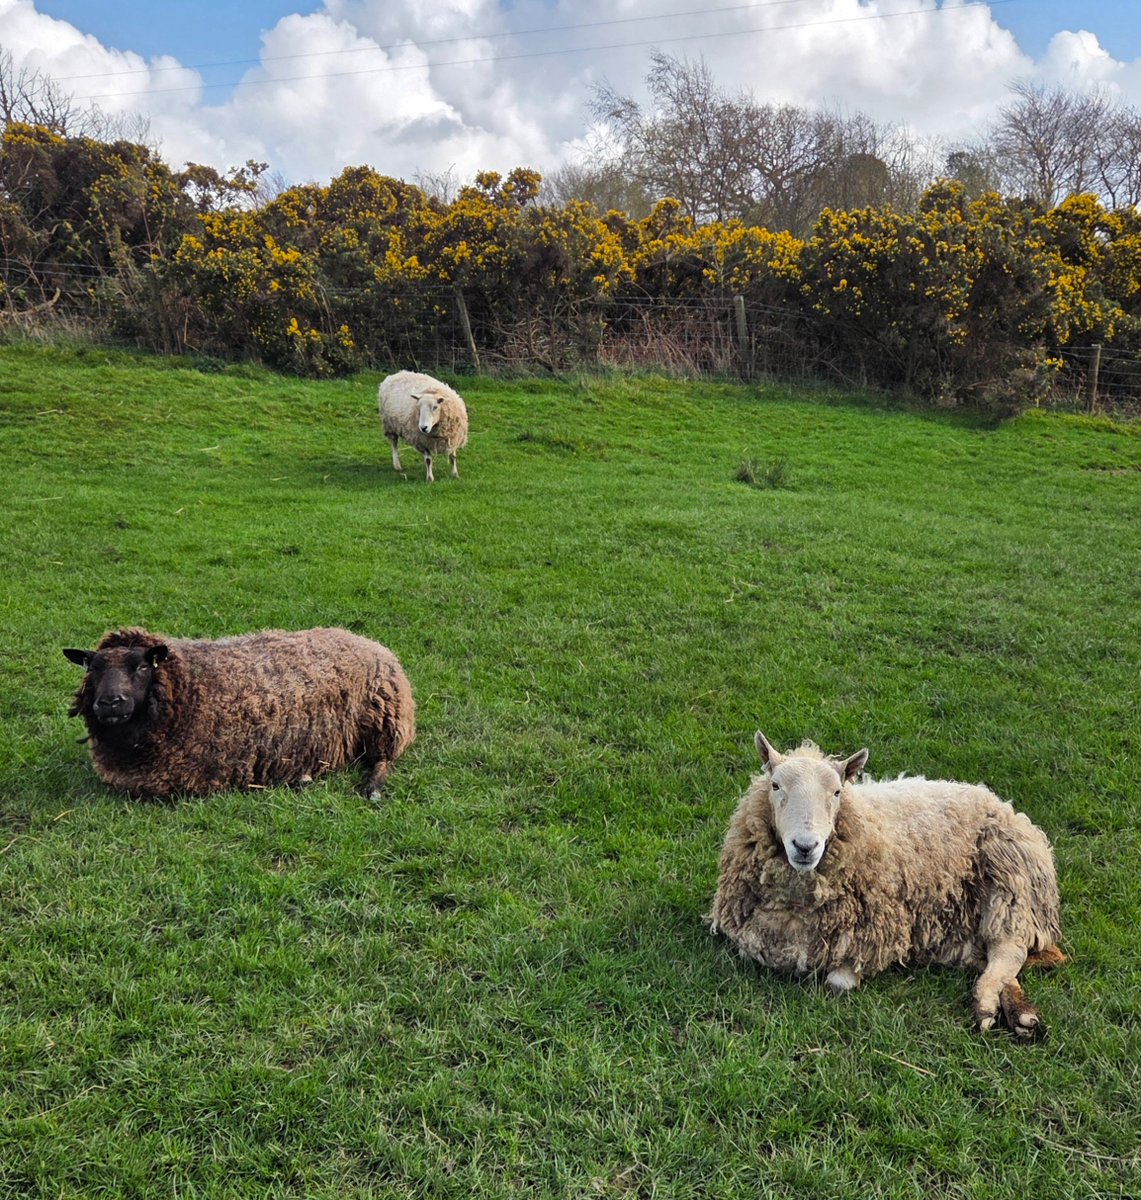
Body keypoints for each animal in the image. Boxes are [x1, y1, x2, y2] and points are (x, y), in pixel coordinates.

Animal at [63, 626, 415, 800]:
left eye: (142, 666)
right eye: (92, 668)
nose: (110, 702)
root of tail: (371, 643)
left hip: (385, 719)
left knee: (384, 759)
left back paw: (371, 789)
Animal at [710, 731, 1064, 1040]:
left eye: (837, 793)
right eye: (775, 785)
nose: (805, 846)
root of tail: (999, 801)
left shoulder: (872, 938)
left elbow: (838, 983)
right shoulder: (751, 939)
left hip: (1011, 884)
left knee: (1008, 949)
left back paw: (989, 1006)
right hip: (958, 923)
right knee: (990, 957)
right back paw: (1019, 1011)